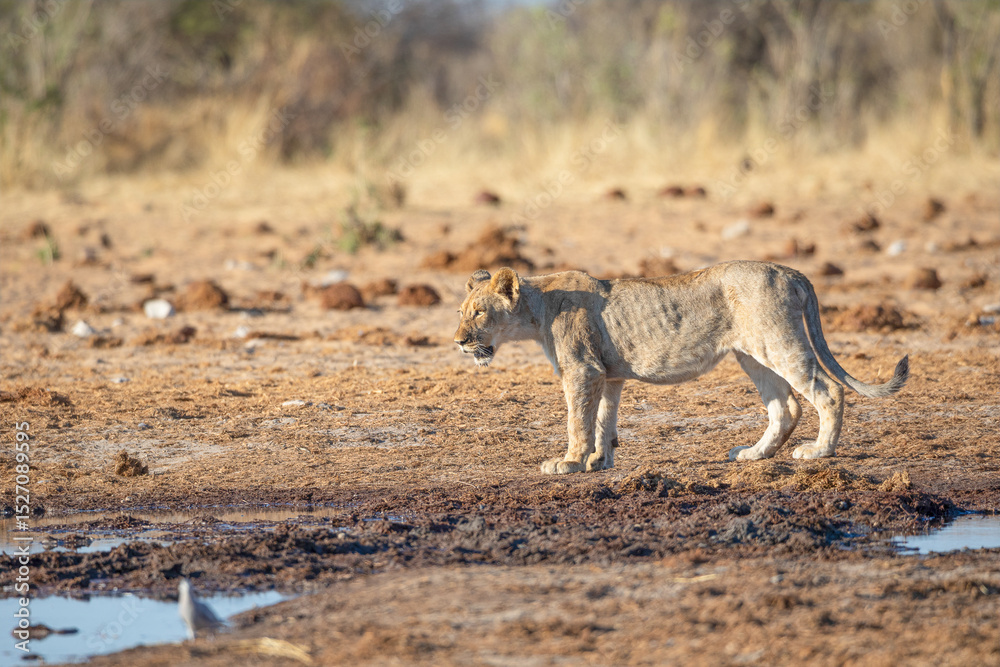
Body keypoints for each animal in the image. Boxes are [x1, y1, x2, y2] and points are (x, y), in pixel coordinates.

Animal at [454, 261, 909, 474]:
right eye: (461, 312)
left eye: (479, 313)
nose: (458, 341)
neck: (535, 309)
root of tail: (790, 270)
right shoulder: (608, 374)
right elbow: (603, 420)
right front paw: (599, 461)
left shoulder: (582, 370)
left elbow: (577, 421)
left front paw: (568, 463)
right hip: (752, 354)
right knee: (786, 407)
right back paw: (753, 454)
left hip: (777, 342)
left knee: (827, 391)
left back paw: (818, 452)